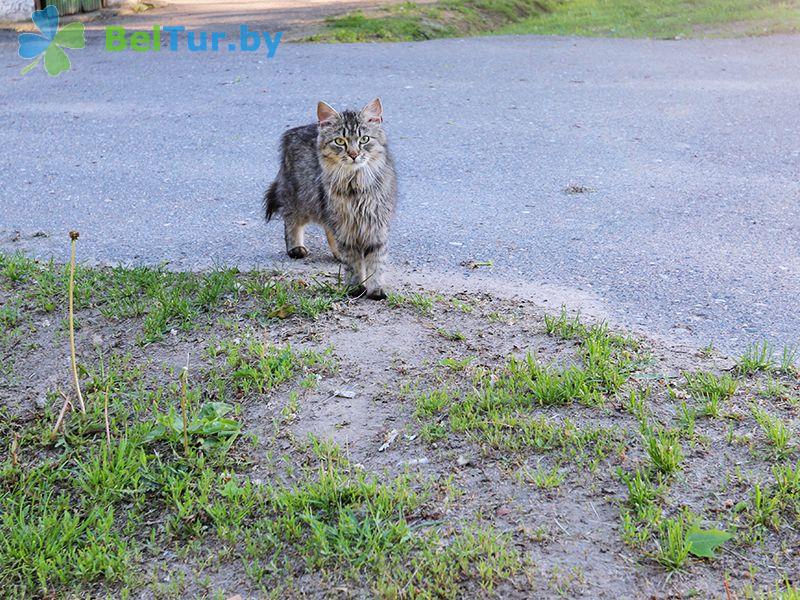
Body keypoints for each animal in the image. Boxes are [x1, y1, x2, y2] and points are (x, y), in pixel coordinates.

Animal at [266, 98, 396, 300]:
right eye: (340, 141)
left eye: (364, 139)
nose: (353, 154)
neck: (355, 186)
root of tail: (294, 131)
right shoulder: (344, 223)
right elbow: (353, 262)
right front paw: (356, 288)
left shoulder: (375, 224)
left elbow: (376, 261)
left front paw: (375, 289)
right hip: (301, 198)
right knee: (291, 220)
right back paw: (295, 248)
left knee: (328, 229)